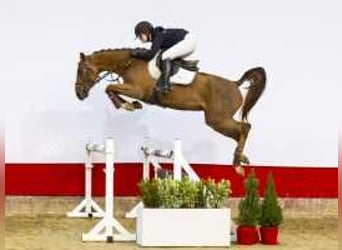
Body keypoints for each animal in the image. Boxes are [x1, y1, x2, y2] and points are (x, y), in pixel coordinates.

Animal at [75, 48, 268, 174]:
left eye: (82, 70)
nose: (79, 94)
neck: (129, 63)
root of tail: (235, 84)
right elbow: (111, 89)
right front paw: (132, 105)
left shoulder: (137, 90)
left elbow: (109, 87)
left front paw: (127, 105)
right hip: (217, 121)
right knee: (240, 132)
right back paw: (242, 158)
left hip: (217, 120)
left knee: (245, 127)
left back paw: (237, 163)